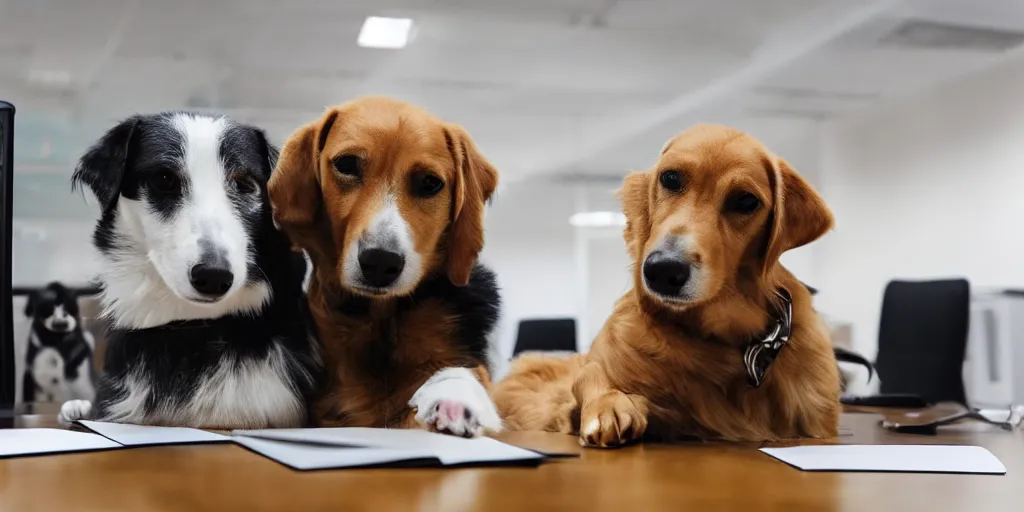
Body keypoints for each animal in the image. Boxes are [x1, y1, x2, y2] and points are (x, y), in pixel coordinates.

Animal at [266, 95, 501, 436]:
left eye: (430, 183)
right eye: (346, 165)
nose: (380, 261)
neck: (379, 321)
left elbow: (461, 373)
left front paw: (454, 399)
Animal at [493, 123, 839, 444]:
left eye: (745, 201)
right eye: (671, 178)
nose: (663, 270)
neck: (713, 337)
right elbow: (591, 378)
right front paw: (608, 406)